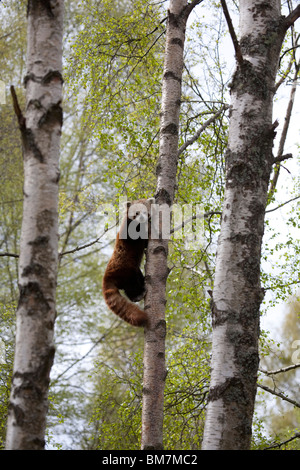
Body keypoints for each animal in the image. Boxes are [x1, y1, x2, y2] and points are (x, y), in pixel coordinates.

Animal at [102, 197, 155, 326]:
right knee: (132, 286)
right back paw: (139, 295)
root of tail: (107, 276)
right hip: (126, 272)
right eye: (137, 213)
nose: (142, 218)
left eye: (145, 212)